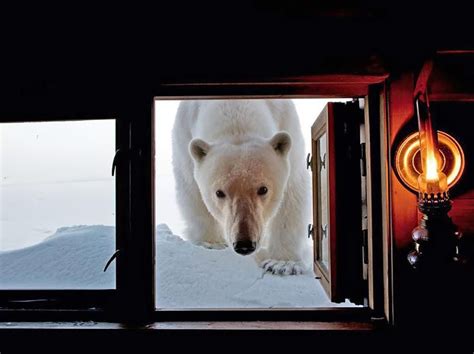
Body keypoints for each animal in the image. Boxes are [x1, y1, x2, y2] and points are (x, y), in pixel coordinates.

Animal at [170, 98, 312, 276]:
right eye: (219, 192)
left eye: (263, 189)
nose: (244, 244)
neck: (234, 106)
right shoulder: (184, 134)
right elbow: (191, 189)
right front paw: (212, 243)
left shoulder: (287, 122)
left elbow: (292, 192)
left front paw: (282, 263)